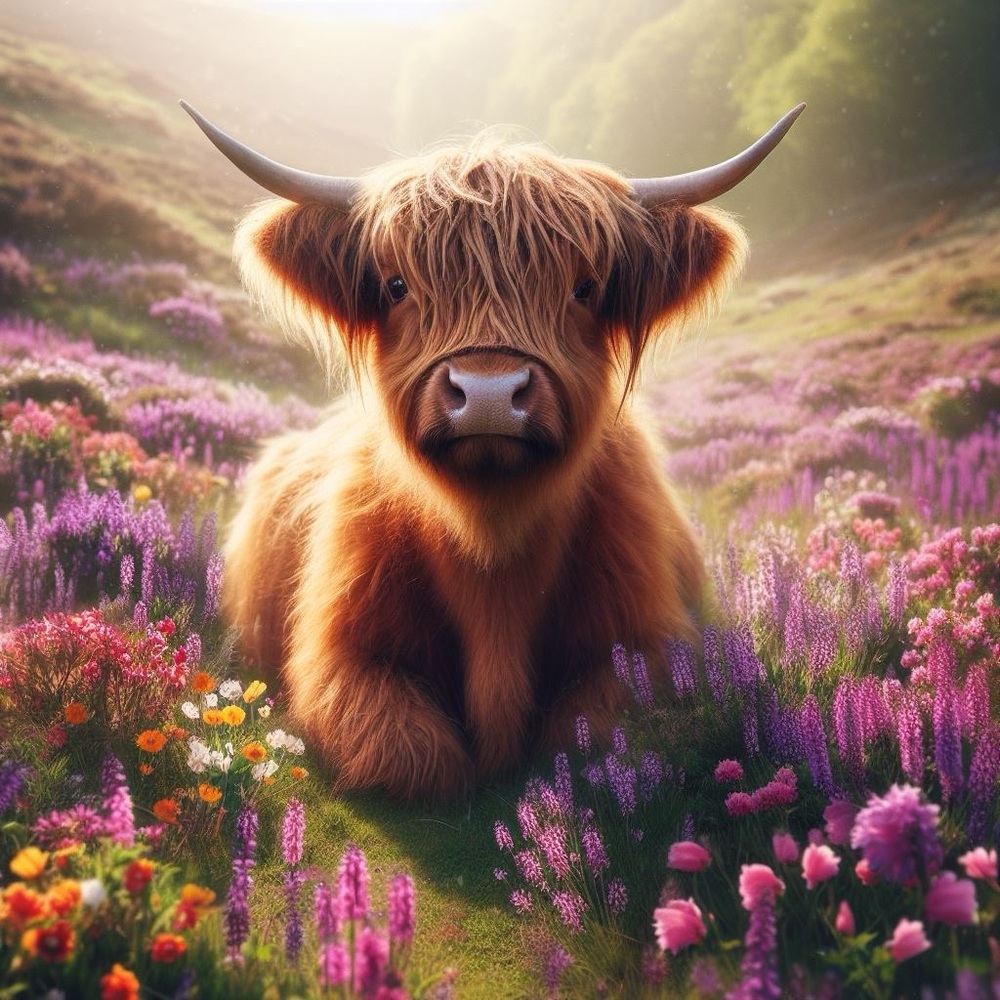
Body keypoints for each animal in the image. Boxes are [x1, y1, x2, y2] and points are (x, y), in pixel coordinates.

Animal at [183, 101, 804, 800]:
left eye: (584, 288)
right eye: (396, 286)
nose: (486, 394)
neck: (494, 549)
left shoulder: (645, 647)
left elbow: (588, 740)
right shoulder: (345, 654)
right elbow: (413, 757)